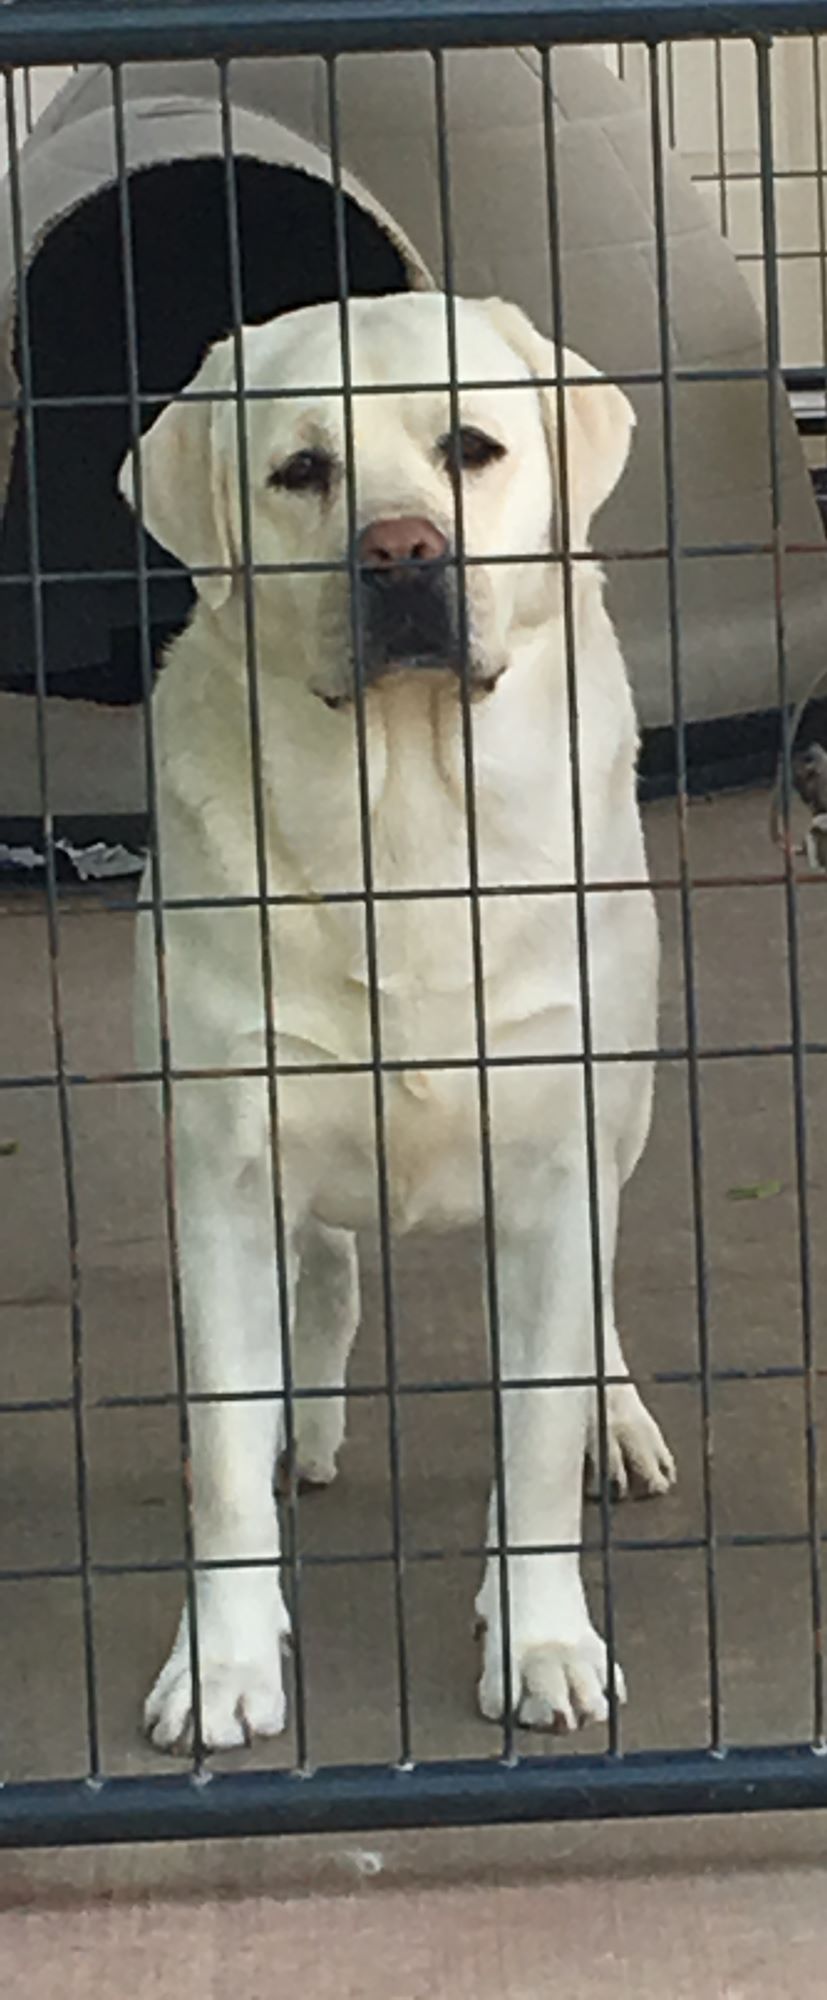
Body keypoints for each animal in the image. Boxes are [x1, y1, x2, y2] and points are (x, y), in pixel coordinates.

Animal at [119, 290, 675, 1760]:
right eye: (301, 471)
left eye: (469, 447)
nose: (402, 553)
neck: (407, 822)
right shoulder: (225, 1161)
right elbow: (220, 1463)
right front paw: (220, 1663)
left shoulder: (551, 1161)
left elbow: (529, 1446)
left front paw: (540, 1643)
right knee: (320, 1270)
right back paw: (303, 1421)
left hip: (626, 1105)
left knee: (600, 1286)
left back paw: (612, 1420)